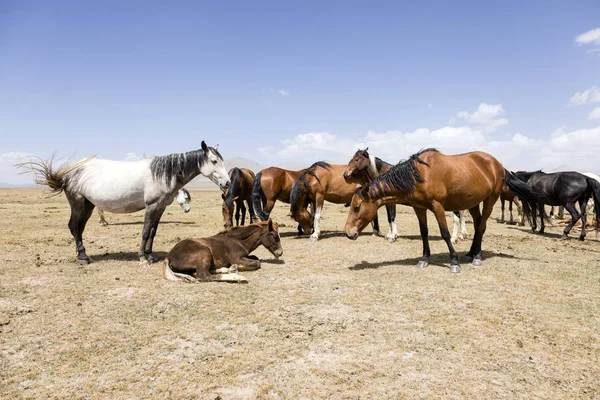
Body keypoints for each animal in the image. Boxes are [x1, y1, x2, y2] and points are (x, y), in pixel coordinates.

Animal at [17, 141, 230, 266]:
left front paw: (150, 255)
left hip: (88, 205)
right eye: (214, 161)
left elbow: (153, 232)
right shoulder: (151, 206)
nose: (227, 183)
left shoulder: (160, 207)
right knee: (75, 227)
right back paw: (83, 258)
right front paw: (142, 257)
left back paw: (81, 254)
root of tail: (70, 171)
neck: (162, 174)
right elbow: (145, 231)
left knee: (78, 227)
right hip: (77, 203)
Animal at [344, 148, 536, 274]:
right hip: (473, 202)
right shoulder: (419, 207)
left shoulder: (438, 207)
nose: (348, 233)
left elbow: (444, 233)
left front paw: (454, 262)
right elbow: (424, 232)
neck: (418, 175)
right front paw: (424, 259)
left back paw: (477, 257)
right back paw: (471, 252)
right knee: (477, 224)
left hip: (491, 198)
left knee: (481, 226)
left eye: (357, 207)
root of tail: (498, 164)